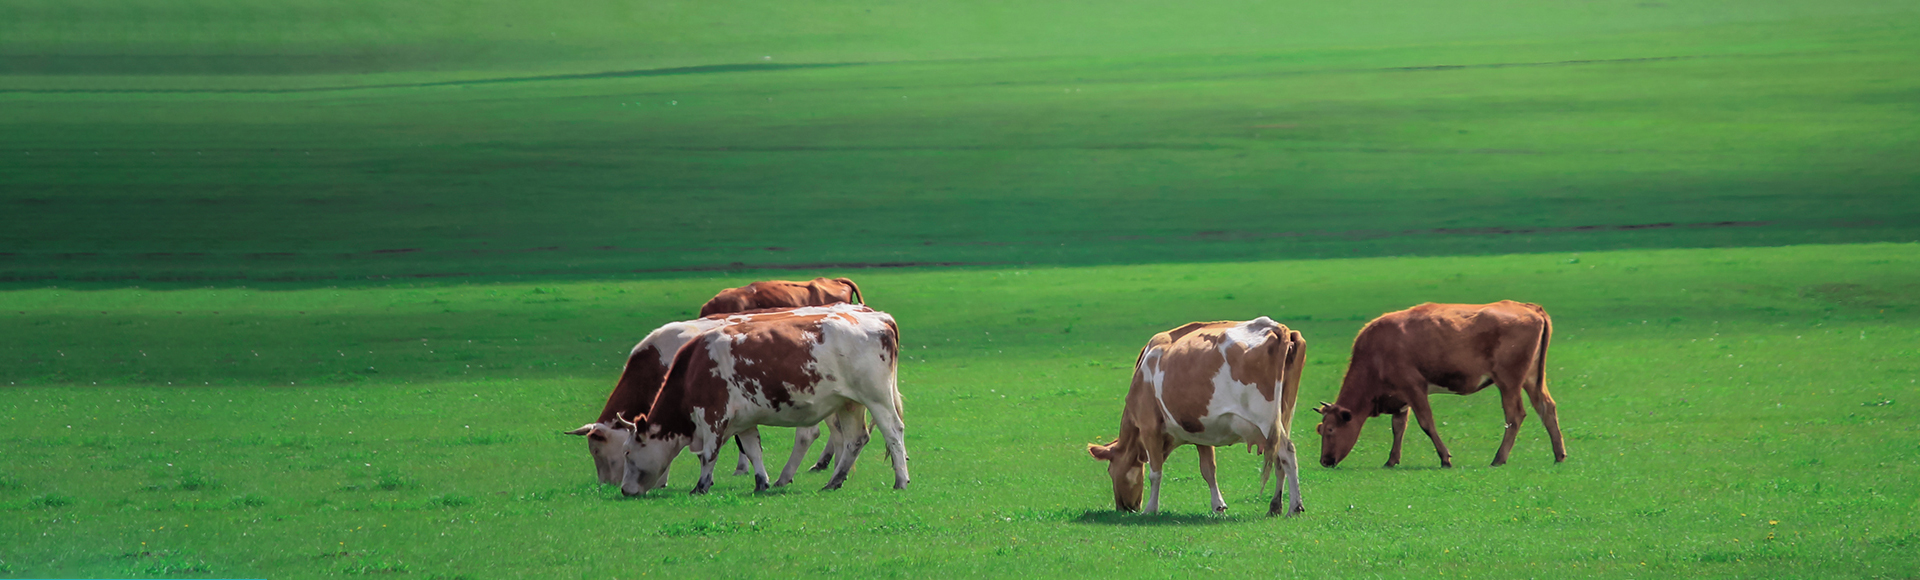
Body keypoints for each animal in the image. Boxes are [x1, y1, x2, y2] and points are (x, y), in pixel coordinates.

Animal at [622, 303, 906, 495]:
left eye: (627, 452)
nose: (624, 489)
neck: (693, 367)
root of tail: (879, 317)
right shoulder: (743, 420)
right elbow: (752, 449)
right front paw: (761, 482)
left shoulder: (713, 415)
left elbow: (709, 454)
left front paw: (700, 486)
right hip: (849, 403)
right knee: (855, 440)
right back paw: (834, 481)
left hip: (876, 398)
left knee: (893, 431)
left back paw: (900, 480)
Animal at [1090, 316, 1313, 514]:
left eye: (1110, 471)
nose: (1125, 508)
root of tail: (1275, 327)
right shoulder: (1201, 430)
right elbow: (1208, 470)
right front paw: (1218, 505)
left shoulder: (1149, 426)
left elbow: (1155, 472)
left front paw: (1151, 508)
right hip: (1282, 417)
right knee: (1279, 460)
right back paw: (1275, 506)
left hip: (1265, 419)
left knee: (1287, 452)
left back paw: (1295, 507)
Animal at [1313, 301, 1566, 468]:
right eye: (1320, 429)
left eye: (1331, 430)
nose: (1325, 461)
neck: (1375, 353)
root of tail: (1528, 307)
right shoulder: (1400, 398)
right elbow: (1398, 427)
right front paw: (1391, 460)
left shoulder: (1414, 387)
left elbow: (1426, 423)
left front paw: (1445, 458)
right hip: (1532, 379)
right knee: (1547, 408)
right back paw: (1559, 454)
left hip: (1508, 381)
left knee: (1515, 415)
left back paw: (1499, 458)